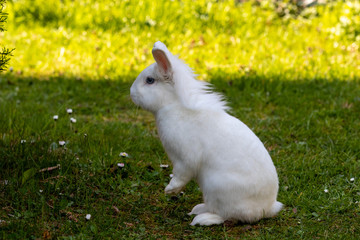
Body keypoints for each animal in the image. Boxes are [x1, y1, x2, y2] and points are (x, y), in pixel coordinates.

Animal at [131, 40, 282, 225]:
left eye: (150, 80)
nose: (131, 93)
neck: (173, 106)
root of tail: (267, 208)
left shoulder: (185, 158)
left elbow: (181, 174)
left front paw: (169, 190)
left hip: (217, 188)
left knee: (227, 216)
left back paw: (202, 219)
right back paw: (198, 209)